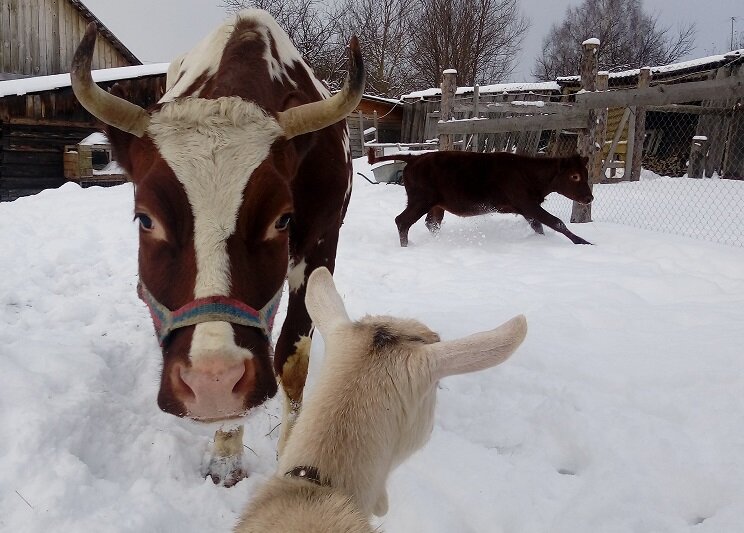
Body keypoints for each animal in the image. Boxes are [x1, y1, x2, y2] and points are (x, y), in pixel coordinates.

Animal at [71, 8, 368, 484]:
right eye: (145, 218)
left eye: (282, 218)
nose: (213, 380)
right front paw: (226, 454)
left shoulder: (321, 245)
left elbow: (292, 360)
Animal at [370, 149, 596, 246]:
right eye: (574, 176)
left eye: (585, 174)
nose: (589, 198)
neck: (529, 173)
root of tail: (414, 158)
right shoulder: (527, 204)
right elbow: (556, 222)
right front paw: (583, 242)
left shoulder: (527, 208)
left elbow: (539, 226)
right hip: (420, 200)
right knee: (402, 220)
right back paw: (406, 247)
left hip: (436, 204)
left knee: (431, 223)